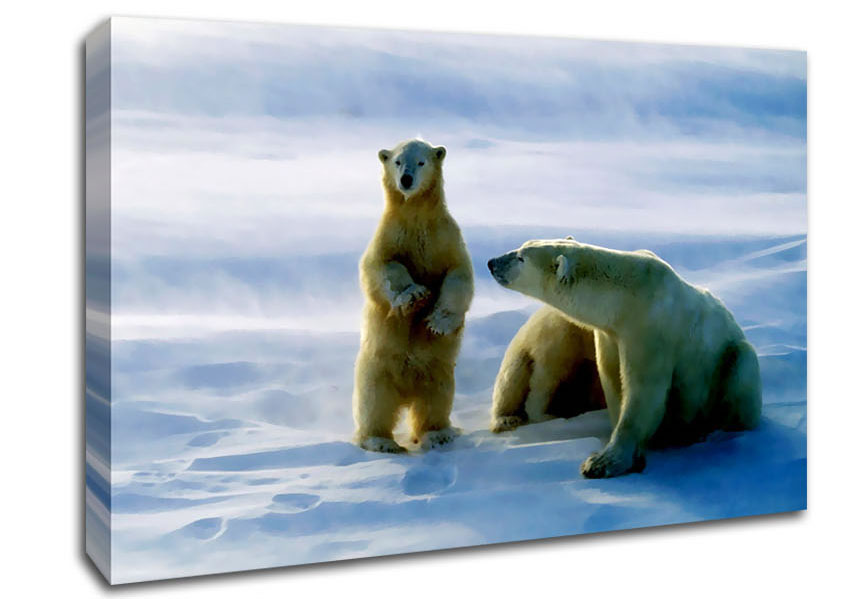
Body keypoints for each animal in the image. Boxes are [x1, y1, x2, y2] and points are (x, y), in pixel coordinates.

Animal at [353, 139, 474, 453]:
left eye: (421, 162)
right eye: (397, 161)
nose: (406, 180)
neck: (417, 216)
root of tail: (406, 392)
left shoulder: (445, 238)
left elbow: (459, 276)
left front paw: (437, 322)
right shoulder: (390, 236)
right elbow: (381, 267)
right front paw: (415, 295)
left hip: (438, 372)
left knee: (435, 401)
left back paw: (438, 435)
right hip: (376, 368)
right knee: (374, 403)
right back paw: (381, 441)